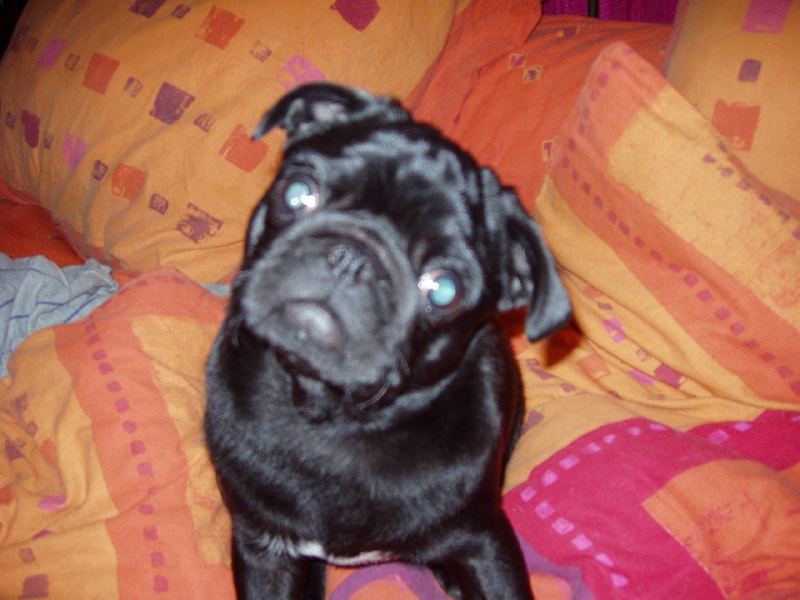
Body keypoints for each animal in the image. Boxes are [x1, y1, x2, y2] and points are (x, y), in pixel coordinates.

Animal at [204, 83, 571, 600]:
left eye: (443, 289)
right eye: (298, 193)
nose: (353, 256)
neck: (337, 421)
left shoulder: (486, 543)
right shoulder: (263, 548)